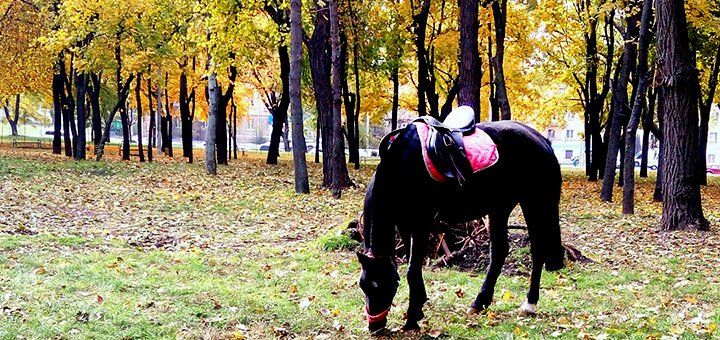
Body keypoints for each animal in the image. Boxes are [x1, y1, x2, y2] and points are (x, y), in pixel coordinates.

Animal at [358, 112, 564, 332]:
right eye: (363, 286)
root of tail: (541, 139)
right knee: (499, 251)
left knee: (537, 250)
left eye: (381, 285)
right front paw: (418, 308)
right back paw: (479, 302)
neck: (401, 168)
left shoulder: (421, 226)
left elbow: (412, 271)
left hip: (534, 202)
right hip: (499, 208)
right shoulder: (405, 225)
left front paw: (412, 318)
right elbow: (412, 268)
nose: (375, 327)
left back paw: (529, 304)